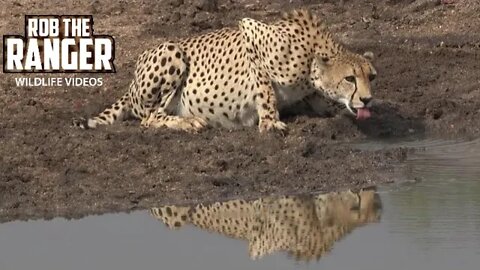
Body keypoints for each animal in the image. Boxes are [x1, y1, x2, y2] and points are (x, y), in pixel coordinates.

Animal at [73, 8, 376, 133]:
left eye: (371, 77)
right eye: (350, 78)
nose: (367, 99)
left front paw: (327, 110)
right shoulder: (251, 34)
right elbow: (266, 93)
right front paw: (270, 123)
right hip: (172, 51)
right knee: (149, 118)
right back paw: (188, 122)